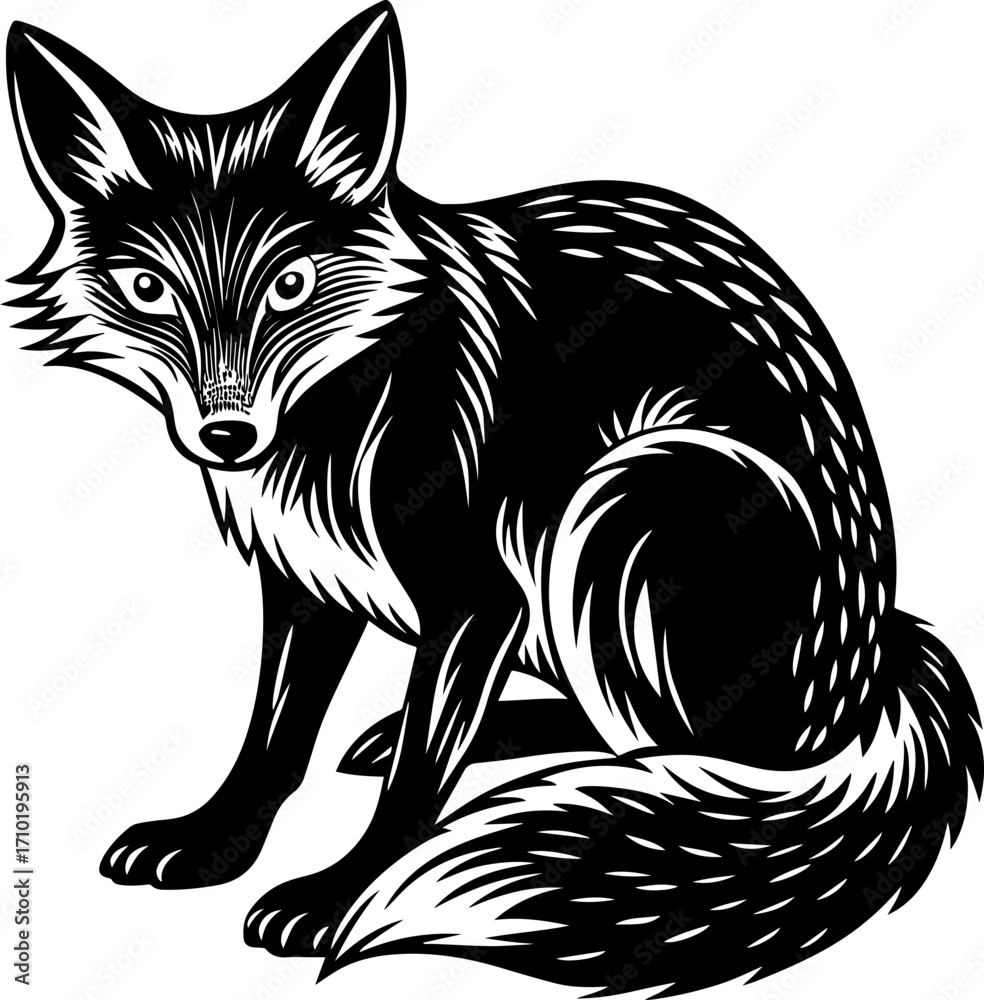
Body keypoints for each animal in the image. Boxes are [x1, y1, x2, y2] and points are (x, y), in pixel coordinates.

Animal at [6, 4, 983, 996]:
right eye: (148, 290)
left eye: (290, 285)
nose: (229, 437)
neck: (347, 418)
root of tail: (875, 658)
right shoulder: (307, 582)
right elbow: (272, 745)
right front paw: (215, 843)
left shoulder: (479, 598)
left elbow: (414, 782)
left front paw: (342, 896)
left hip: (628, 499)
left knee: (700, 762)